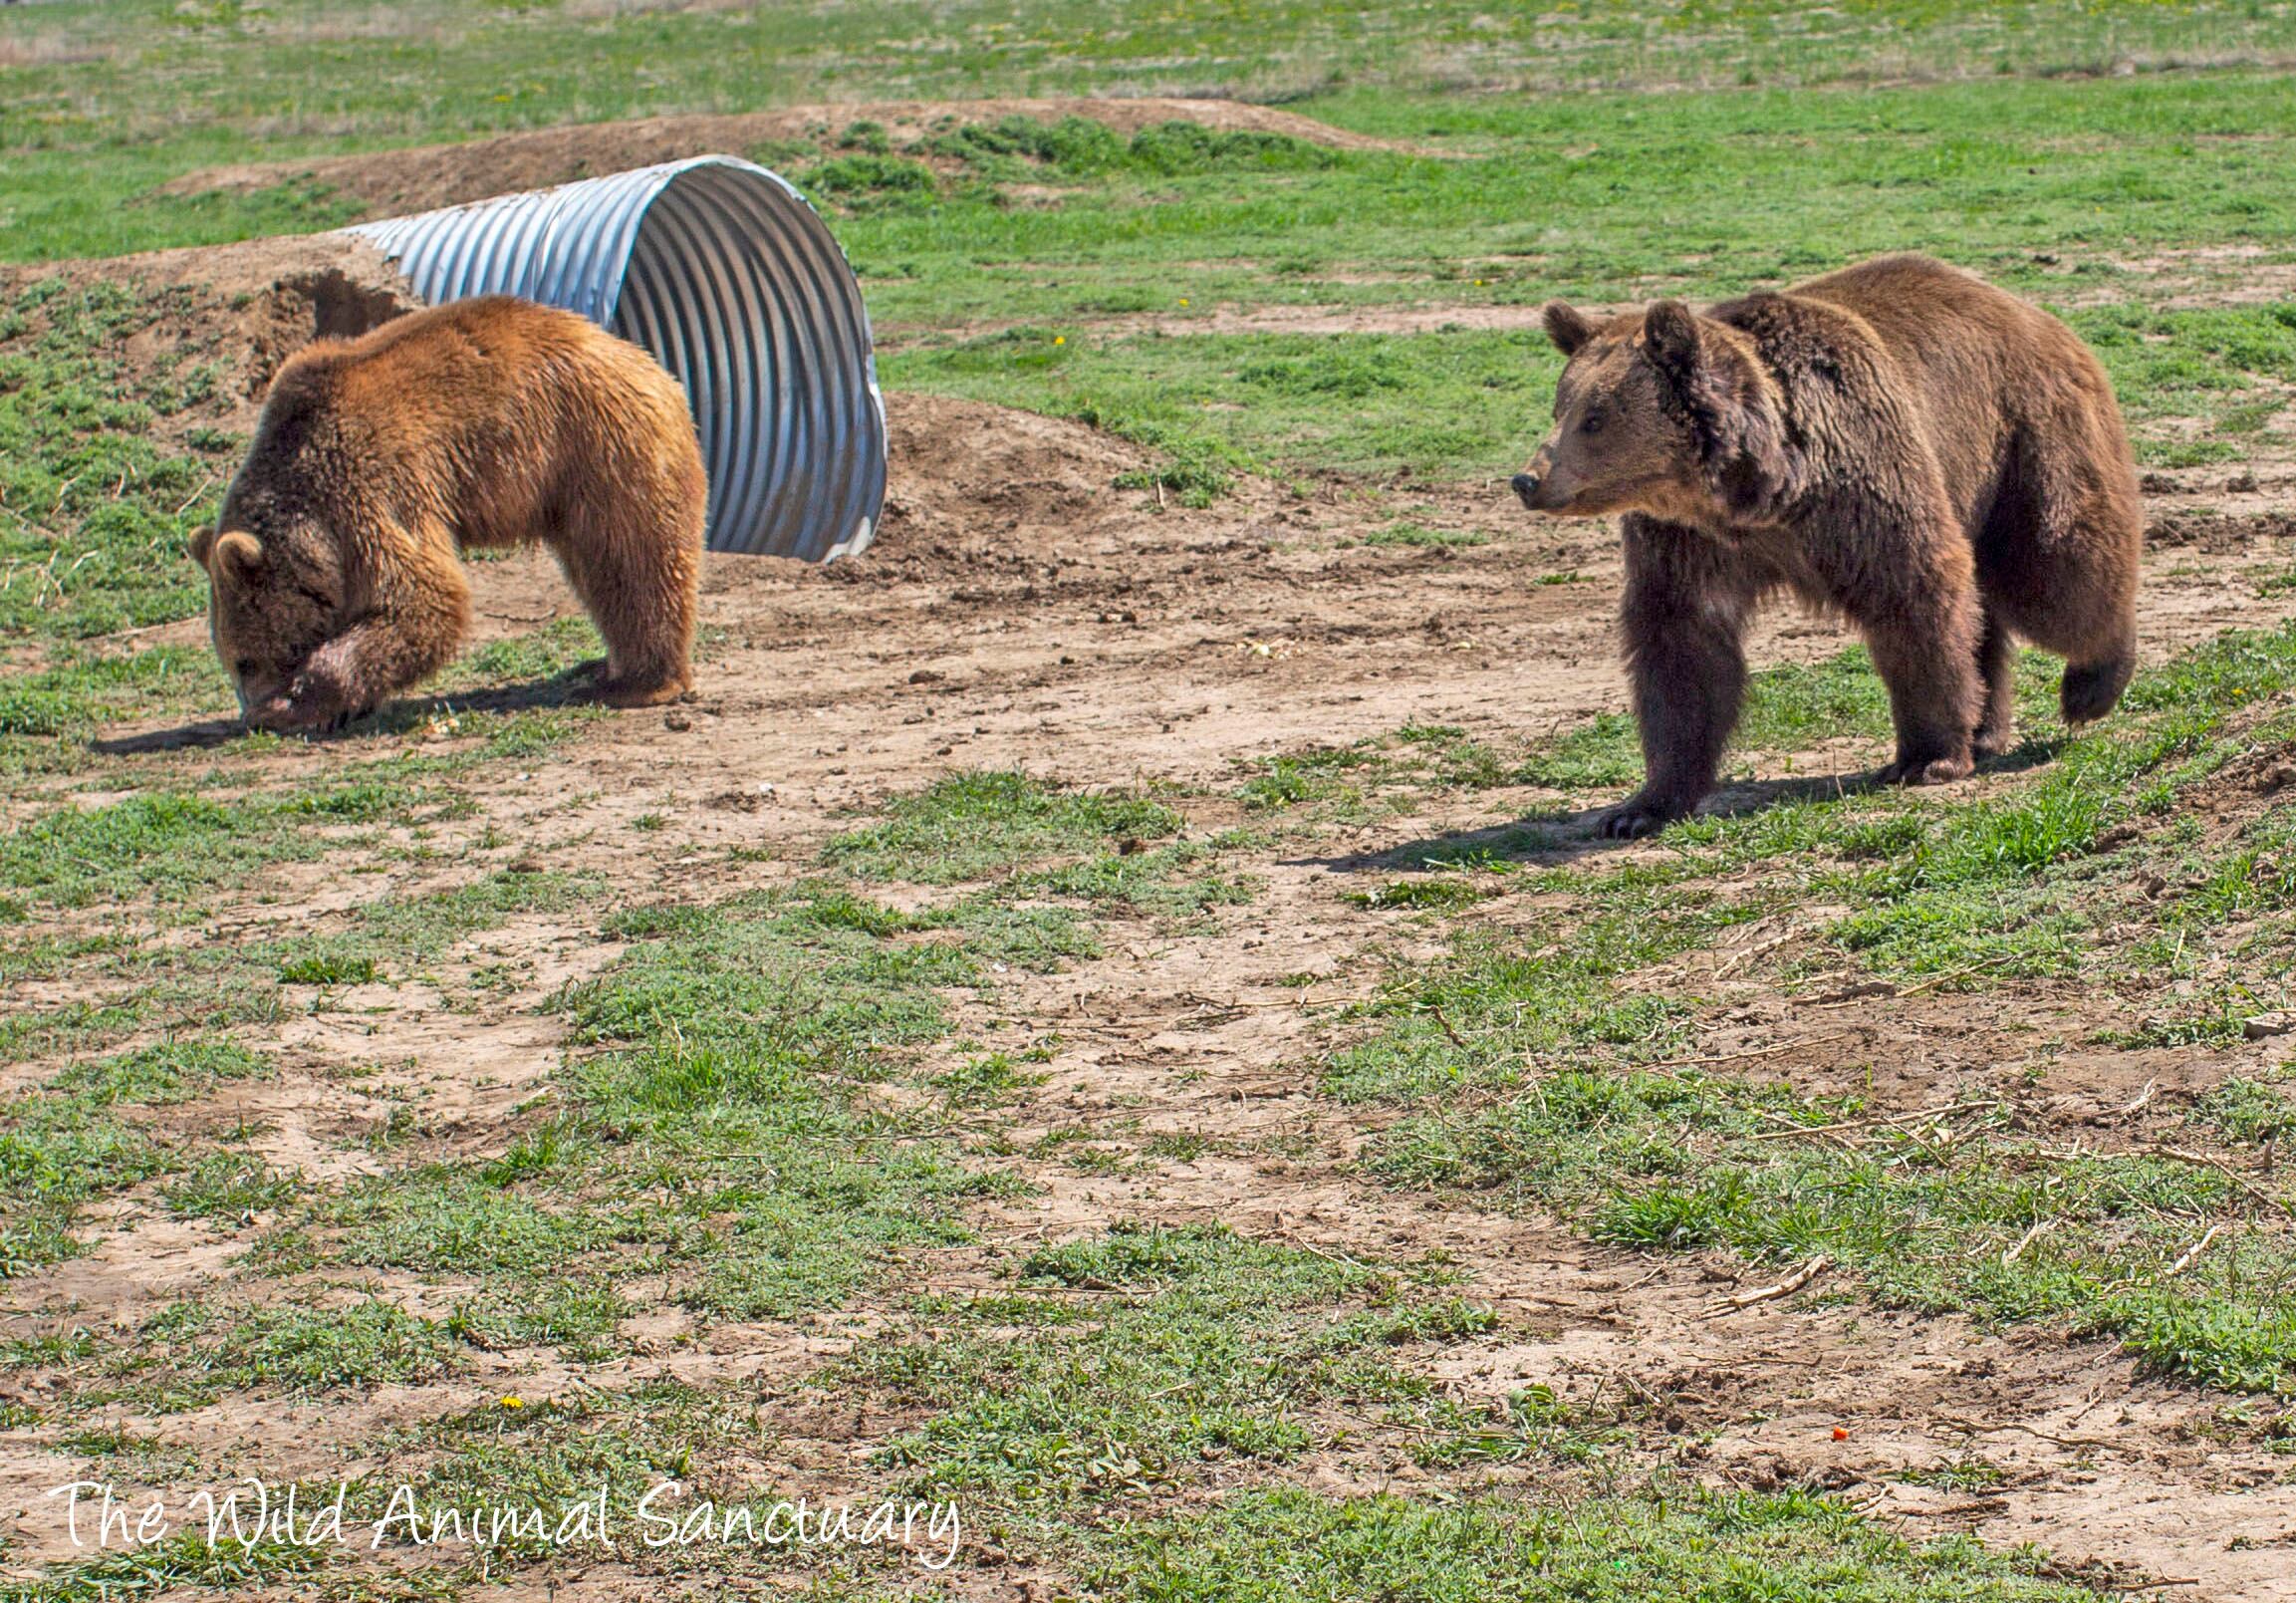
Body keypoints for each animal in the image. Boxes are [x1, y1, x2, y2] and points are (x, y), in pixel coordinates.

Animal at [193, 294, 702, 730]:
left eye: (244, 661)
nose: (250, 714)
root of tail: (646, 361)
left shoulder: (369, 489)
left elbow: (423, 598)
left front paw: (299, 703)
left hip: (600, 445)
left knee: (633, 560)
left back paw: (639, 682)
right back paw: (608, 669)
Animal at [1515, 250, 2140, 836]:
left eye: (1594, 417)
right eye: (1559, 406)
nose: (1527, 479)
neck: (1757, 492)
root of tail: (2029, 311)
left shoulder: (1860, 485)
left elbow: (1912, 594)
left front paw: (1926, 757)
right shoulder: (1687, 543)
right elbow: (1680, 647)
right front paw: (1642, 806)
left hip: (2021, 440)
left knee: (2054, 571)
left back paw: (2090, 685)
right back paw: (1985, 729)